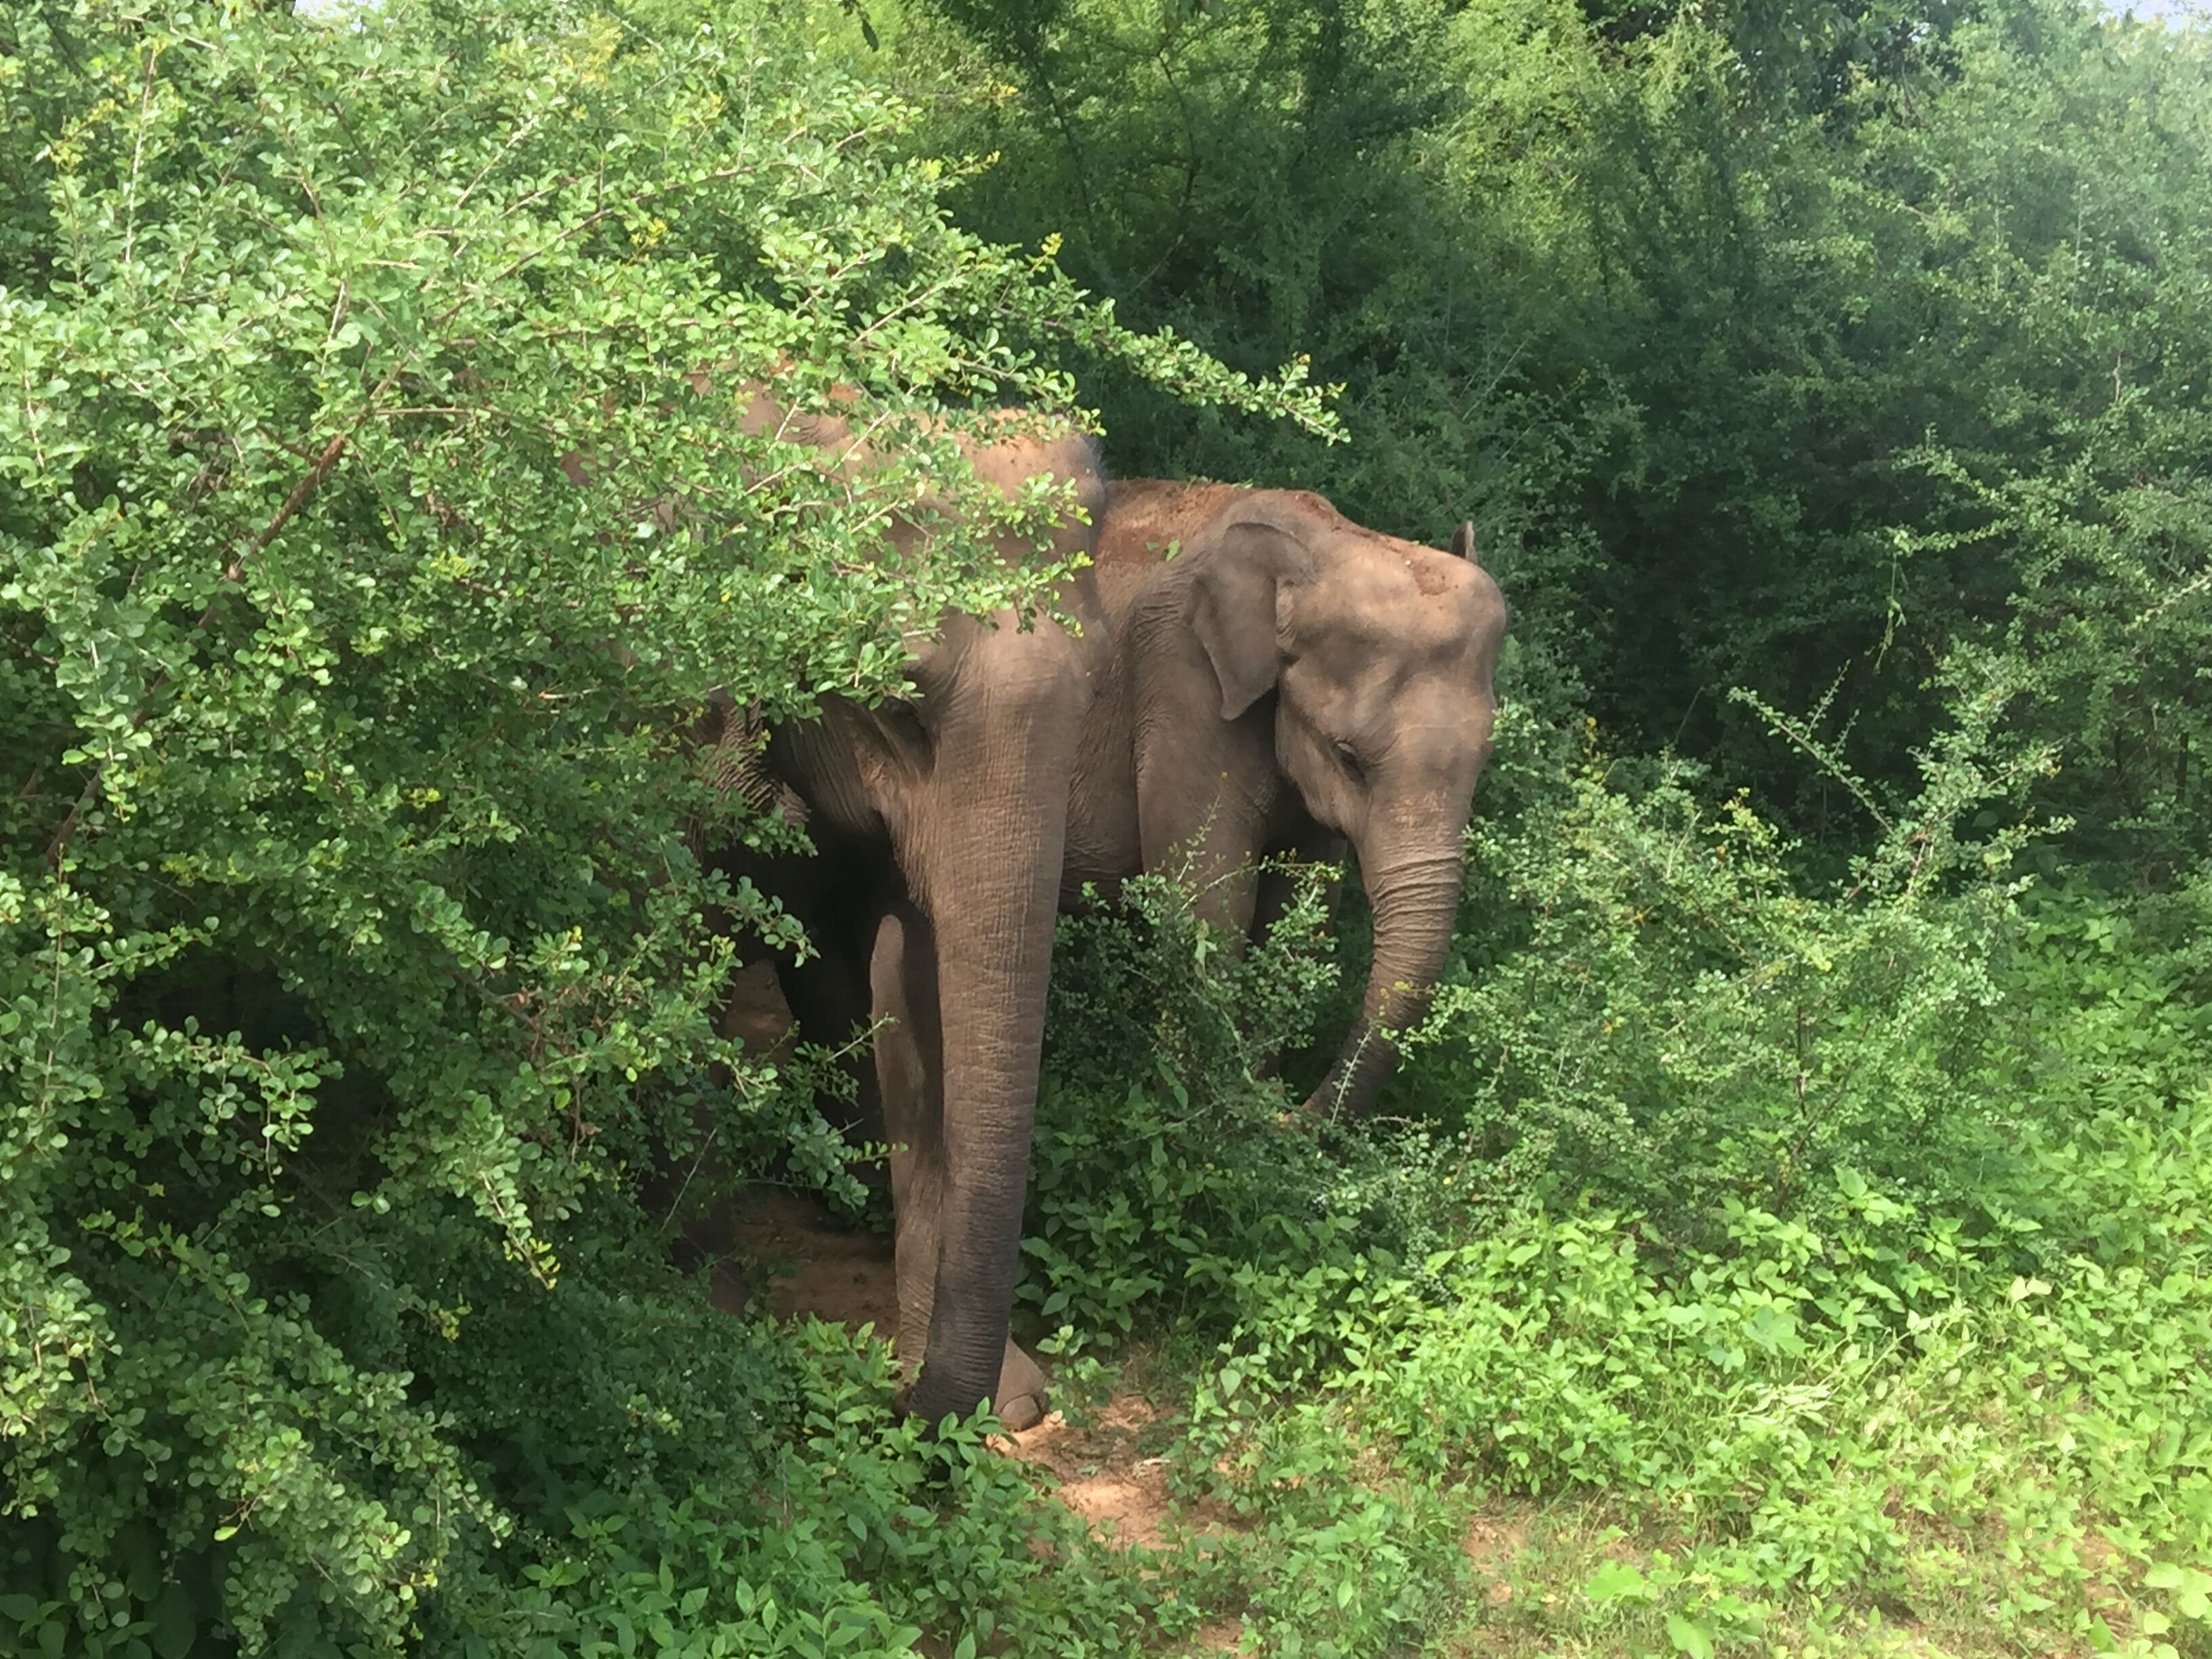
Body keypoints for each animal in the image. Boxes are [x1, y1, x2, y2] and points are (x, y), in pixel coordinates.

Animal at [1061, 487, 1513, 1124]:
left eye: (1486, 758)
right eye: (1349, 758)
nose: (1284, 1108)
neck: (1325, 541)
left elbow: (1301, 910)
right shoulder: (1181, 679)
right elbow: (1210, 901)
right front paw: (1187, 1120)